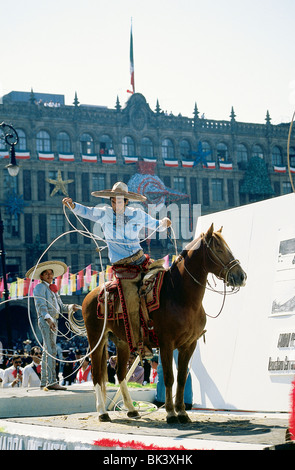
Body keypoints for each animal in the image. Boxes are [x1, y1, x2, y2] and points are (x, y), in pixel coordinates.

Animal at [81, 222, 247, 424]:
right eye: (218, 249)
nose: (241, 276)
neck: (180, 296)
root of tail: (90, 294)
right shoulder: (166, 343)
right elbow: (169, 377)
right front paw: (170, 413)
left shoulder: (189, 344)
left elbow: (182, 378)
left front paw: (182, 412)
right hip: (97, 339)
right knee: (98, 374)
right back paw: (102, 412)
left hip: (123, 342)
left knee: (120, 373)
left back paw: (131, 409)